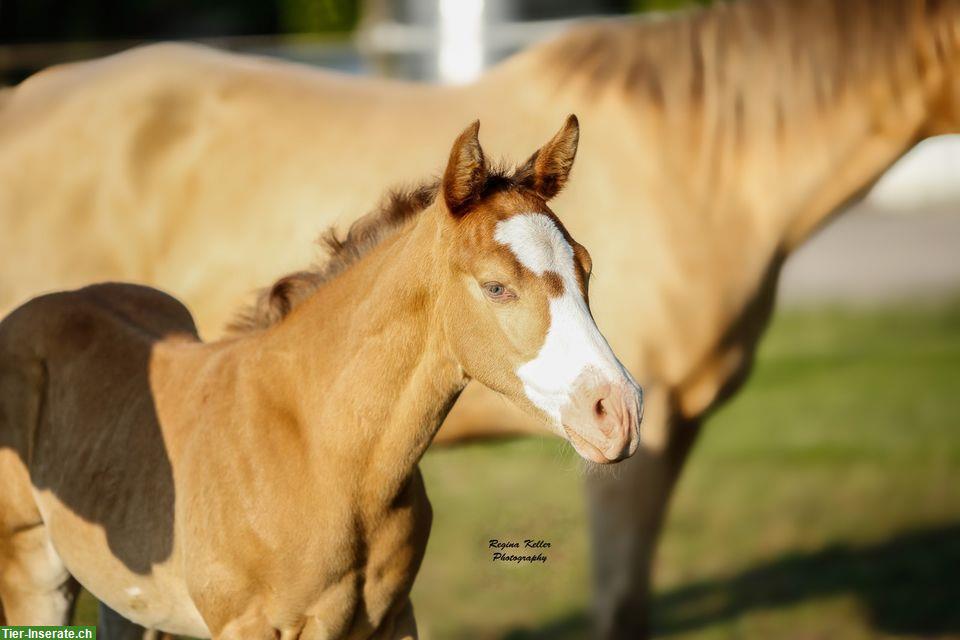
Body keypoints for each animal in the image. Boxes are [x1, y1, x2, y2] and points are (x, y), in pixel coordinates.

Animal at [1, 116, 644, 640]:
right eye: (496, 286)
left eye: (586, 267)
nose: (620, 413)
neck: (325, 456)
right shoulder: (249, 627)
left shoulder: (392, 620)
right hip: (32, 570)